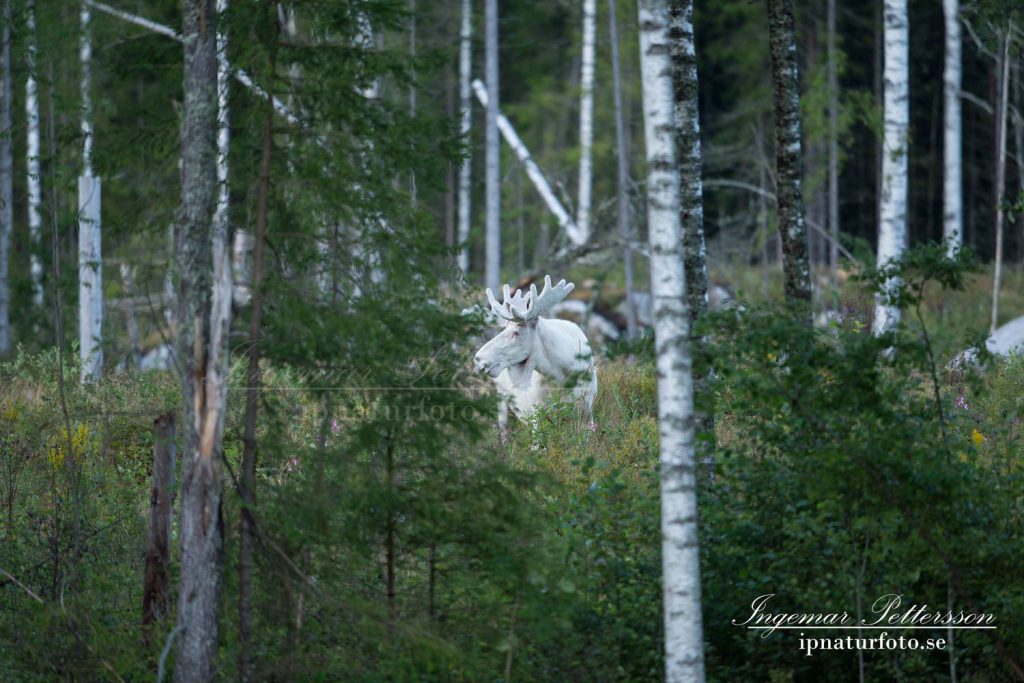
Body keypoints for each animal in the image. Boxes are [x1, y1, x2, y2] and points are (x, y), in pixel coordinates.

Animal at [473, 276, 598, 432]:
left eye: (516, 332)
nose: (479, 359)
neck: (565, 374)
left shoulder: (586, 411)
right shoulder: (538, 415)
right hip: (501, 397)